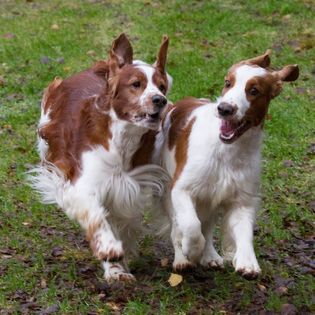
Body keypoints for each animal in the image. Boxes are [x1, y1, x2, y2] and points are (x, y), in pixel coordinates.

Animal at [29, 33, 173, 282]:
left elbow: (118, 222)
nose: (160, 100)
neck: (122, 140)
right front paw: (109, 250)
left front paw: (117, 269)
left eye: (162, 87)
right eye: (136, 84)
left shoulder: (127, 189)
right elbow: (96, 217)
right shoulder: (81, 184)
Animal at [157, 51, 300, 278]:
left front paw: (247, 262)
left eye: (254, 91)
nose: (224, 109)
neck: (227, 150)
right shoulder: (181, 189)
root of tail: (174, 106)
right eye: (228, 83)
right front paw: (191, 250)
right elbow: (191, 226)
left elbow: (243, 231)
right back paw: (182, 260)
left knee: (207, 225)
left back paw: (210, 256)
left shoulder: (241, 198)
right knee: (178, 227)